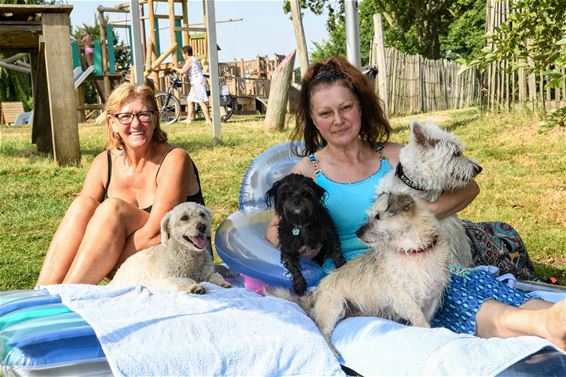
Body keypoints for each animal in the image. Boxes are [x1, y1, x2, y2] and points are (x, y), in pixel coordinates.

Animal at [276, 194, 452, 344]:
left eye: (378, 216)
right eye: (368, 216)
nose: (357, 233)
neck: (414, 250)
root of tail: (316, 291)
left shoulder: (434, 295)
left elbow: (426, 318)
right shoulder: (402, 296)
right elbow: (418, 318)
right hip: (333, 307)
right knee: (323, 334)